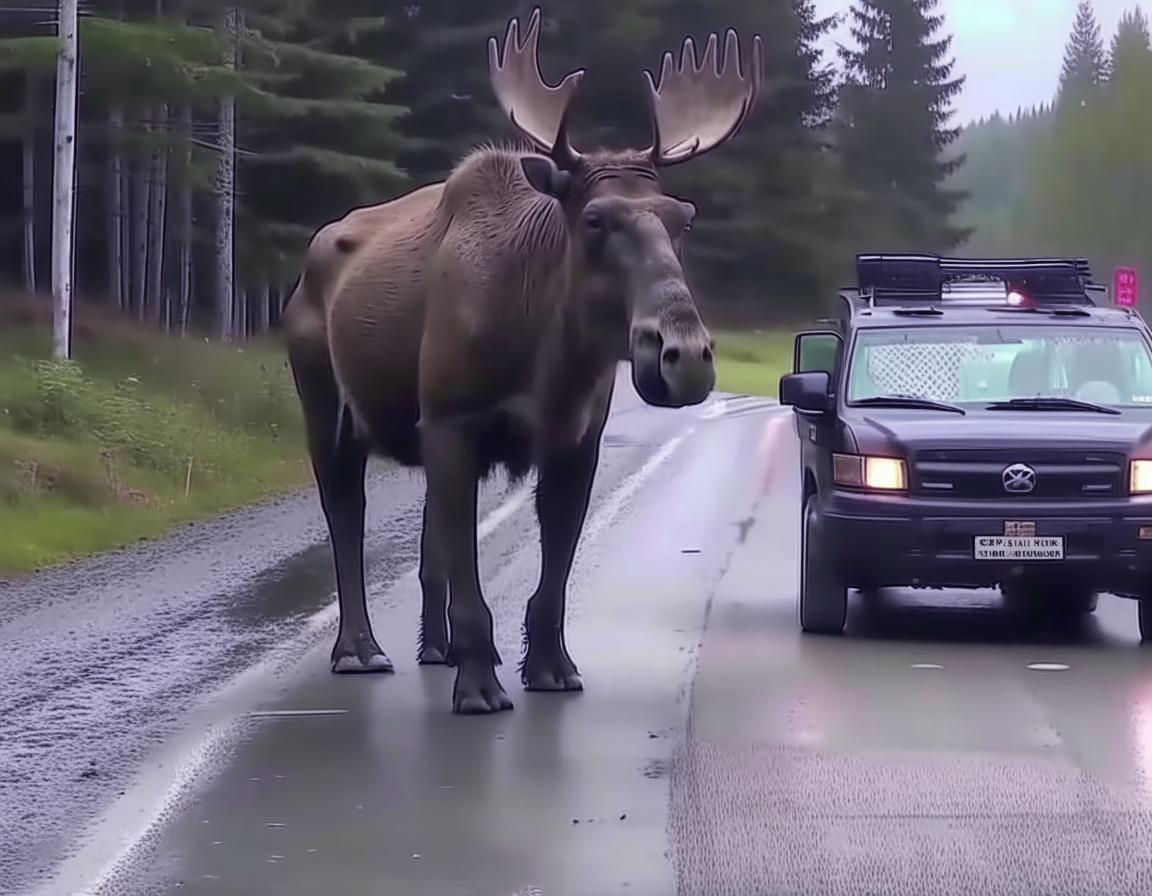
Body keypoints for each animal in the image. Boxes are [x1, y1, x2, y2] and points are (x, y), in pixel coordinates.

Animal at [281, 5, 764, 714]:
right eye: (594, 219)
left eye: (684, 218)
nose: (684, 355)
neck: (547, 360)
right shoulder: (453, 422)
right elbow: (472, 583)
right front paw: (480, 684)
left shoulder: (575, 440)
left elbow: (551, 577)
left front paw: (549, 667)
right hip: (328, 410)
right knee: (347, 519)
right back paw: (361, 649)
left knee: (425, 537)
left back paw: (434, 646)